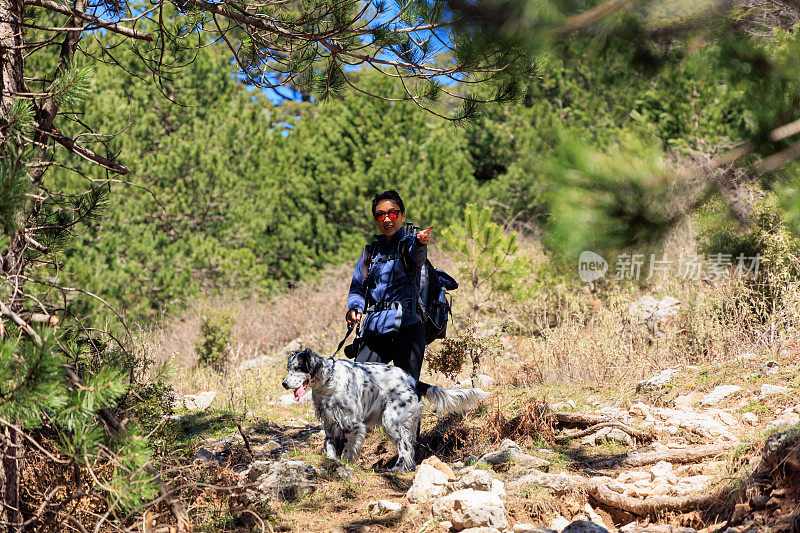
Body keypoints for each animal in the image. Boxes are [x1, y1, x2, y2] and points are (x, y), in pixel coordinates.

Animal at [284, 350, 490, 470]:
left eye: (297, 367)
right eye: (288, 368)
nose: (284, 383)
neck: (328, 382)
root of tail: (414, 381)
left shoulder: (353, 424)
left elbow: (349, 449)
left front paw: (346, 464)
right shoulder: (330, 422)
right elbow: (330, 447)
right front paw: (332, 463)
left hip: (391, 420)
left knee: (405, 449)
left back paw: (396, 470)